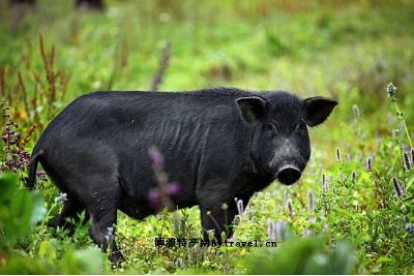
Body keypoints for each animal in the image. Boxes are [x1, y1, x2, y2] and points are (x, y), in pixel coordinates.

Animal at [26, 88, 336, 264]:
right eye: (270, 126)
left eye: (300, 126)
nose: (288, 167)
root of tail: (44, 140)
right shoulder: (213, 188)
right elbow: (213, 231)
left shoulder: (242, 194)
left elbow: (229, 230)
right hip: (97, 183)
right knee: (99, 229)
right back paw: (122, 265)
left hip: (73, 192)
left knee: (59, 225)